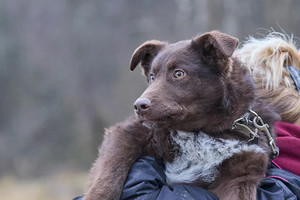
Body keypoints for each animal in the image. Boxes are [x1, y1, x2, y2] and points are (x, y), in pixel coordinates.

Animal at [84, 30, 278, 200]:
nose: (139, 106)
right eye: (152, 76)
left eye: (179, 73)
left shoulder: (242, 170)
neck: (199, 132)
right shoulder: (129, 133)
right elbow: (109, 175)